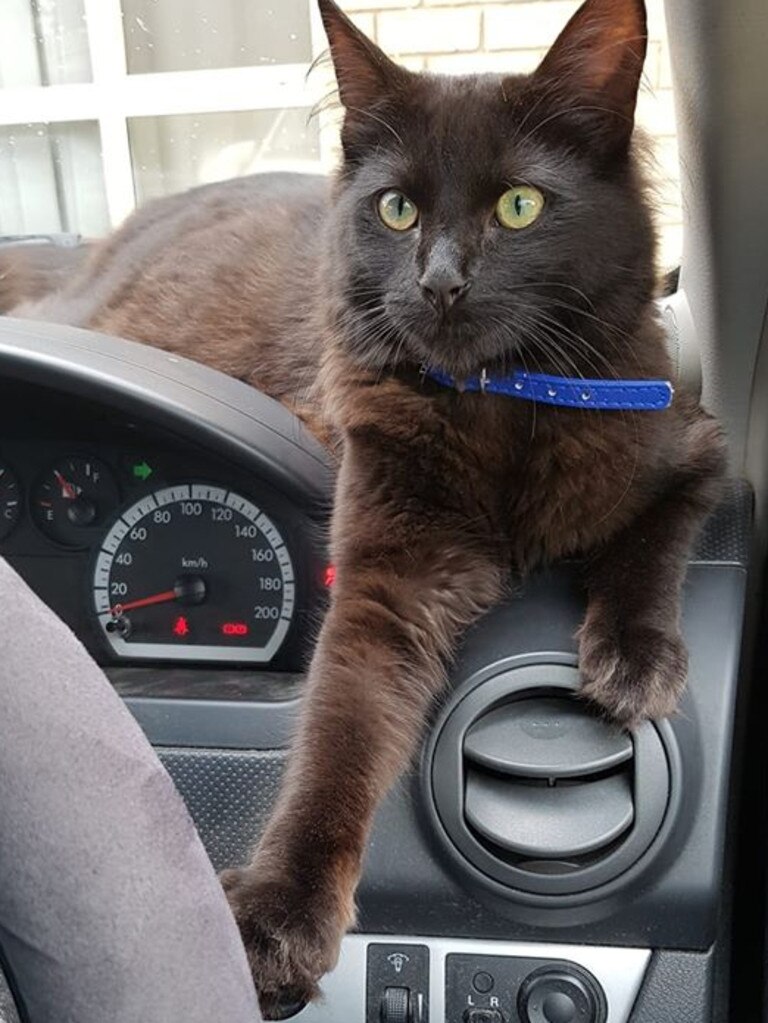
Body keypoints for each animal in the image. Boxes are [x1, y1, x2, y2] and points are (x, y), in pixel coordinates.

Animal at [4, 0, 728, 1010]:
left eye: (519, 206)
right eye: (397, 209)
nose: (440, 282)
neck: (498, 408)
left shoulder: (690, 446)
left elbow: (652, 537)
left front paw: (633, 659)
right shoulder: (386, 583)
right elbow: (335, 749)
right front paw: (280, 915)